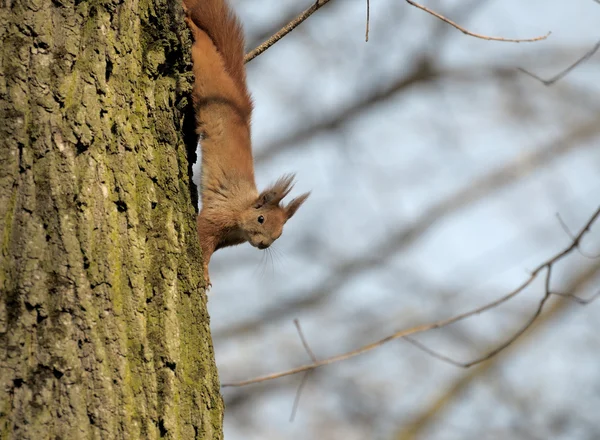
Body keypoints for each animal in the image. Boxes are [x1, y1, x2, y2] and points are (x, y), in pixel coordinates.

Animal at [182, 0, 310, 288]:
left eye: (280, 233)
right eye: (261, 219)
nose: (263, 244)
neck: (241, 213)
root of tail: (240, 102)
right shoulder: (217, 215)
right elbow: (202, 240)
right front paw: (204, 274)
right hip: (207, 76)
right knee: (202, 45)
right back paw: (191, 24)